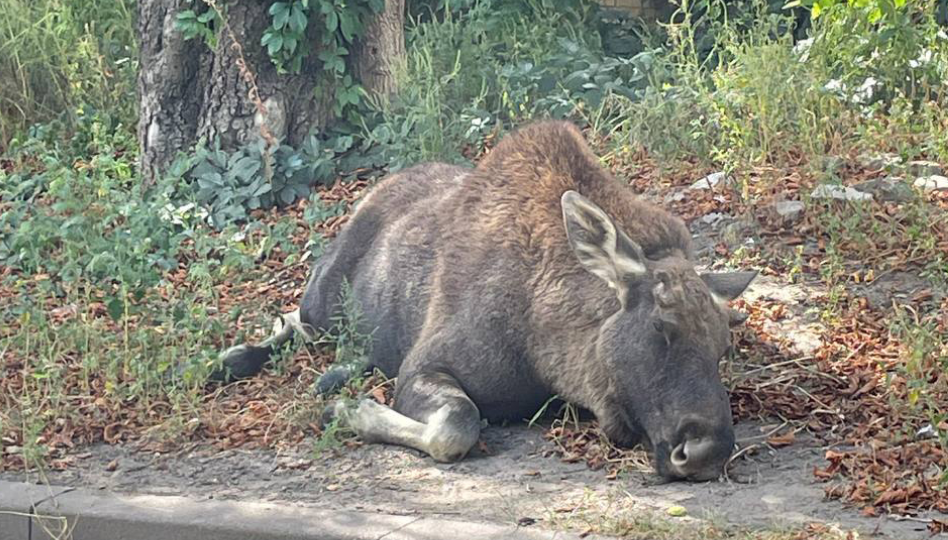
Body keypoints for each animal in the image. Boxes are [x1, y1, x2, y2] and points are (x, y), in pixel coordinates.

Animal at [217, 121, 756, 480]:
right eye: (661, 326)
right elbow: (456, 425)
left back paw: (336, 372)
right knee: (294, 320)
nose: (706, 451)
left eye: (722, 347)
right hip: (323, 299)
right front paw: (350, 411)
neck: (545, 343)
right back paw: (230, 360)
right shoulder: (425, 365)